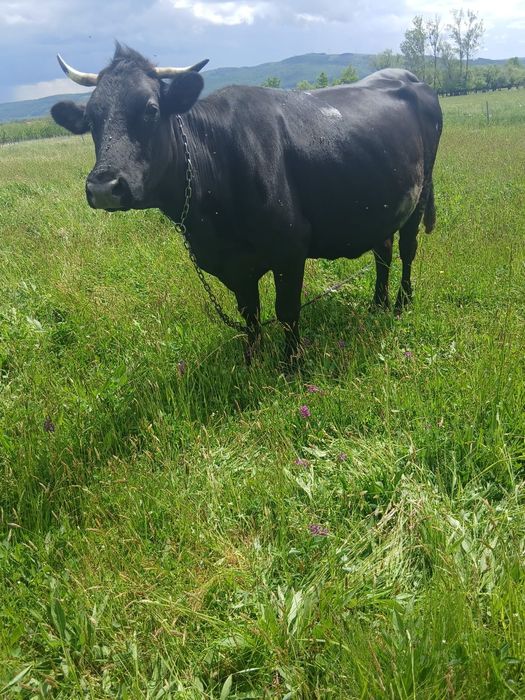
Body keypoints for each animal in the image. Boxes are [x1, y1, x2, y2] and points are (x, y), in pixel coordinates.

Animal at [51, 44, 442, 364]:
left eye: (150, 109)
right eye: (91, 118)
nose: (104, 186)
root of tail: (412, 78)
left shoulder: (290, 248)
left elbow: (287, 311)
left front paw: (291, 365)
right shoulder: (233, 264)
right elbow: (250, 315)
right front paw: (252, 362)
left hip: (418, 195)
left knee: (407, 250)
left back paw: (402, 304)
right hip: (382, 205)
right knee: (383, 251)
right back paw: (378, 304)